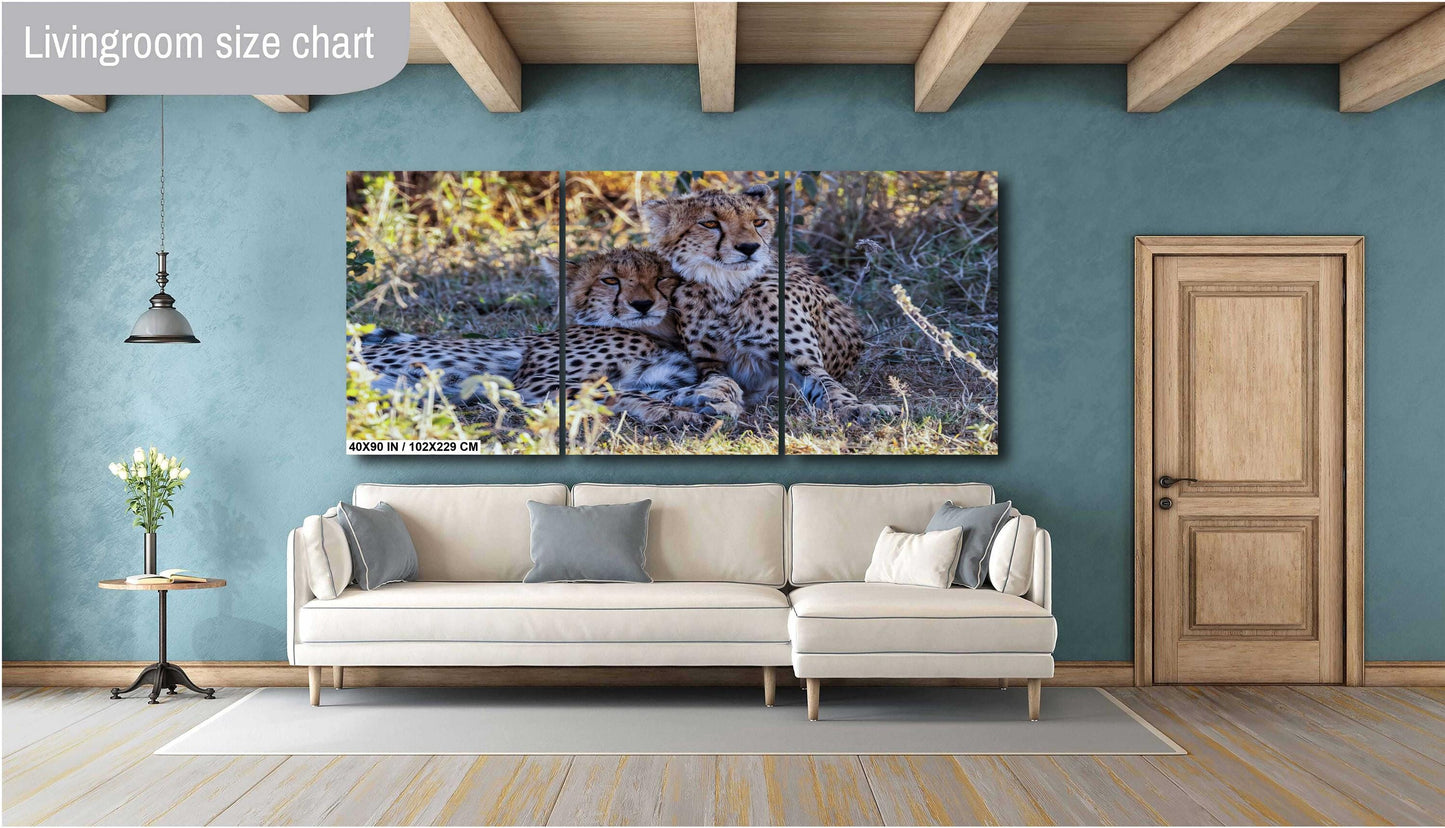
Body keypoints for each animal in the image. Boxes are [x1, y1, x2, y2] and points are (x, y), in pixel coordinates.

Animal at [359, 248, 708, 427]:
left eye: (662, 278)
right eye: (610, 280)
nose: (642, 304)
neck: (655, 333)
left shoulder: (657, 378)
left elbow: (668, 390)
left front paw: (706, 400)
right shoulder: (532, 383)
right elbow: (617, 391)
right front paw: (672, 411)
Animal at [639, 185, 895, 422]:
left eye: (759, 222)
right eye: (710, 224)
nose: (749, 247)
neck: (727, 288)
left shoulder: (801, 362)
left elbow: (830, 386)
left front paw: (859, 408)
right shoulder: (708, 364)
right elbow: (723, 381)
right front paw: (716, 397)